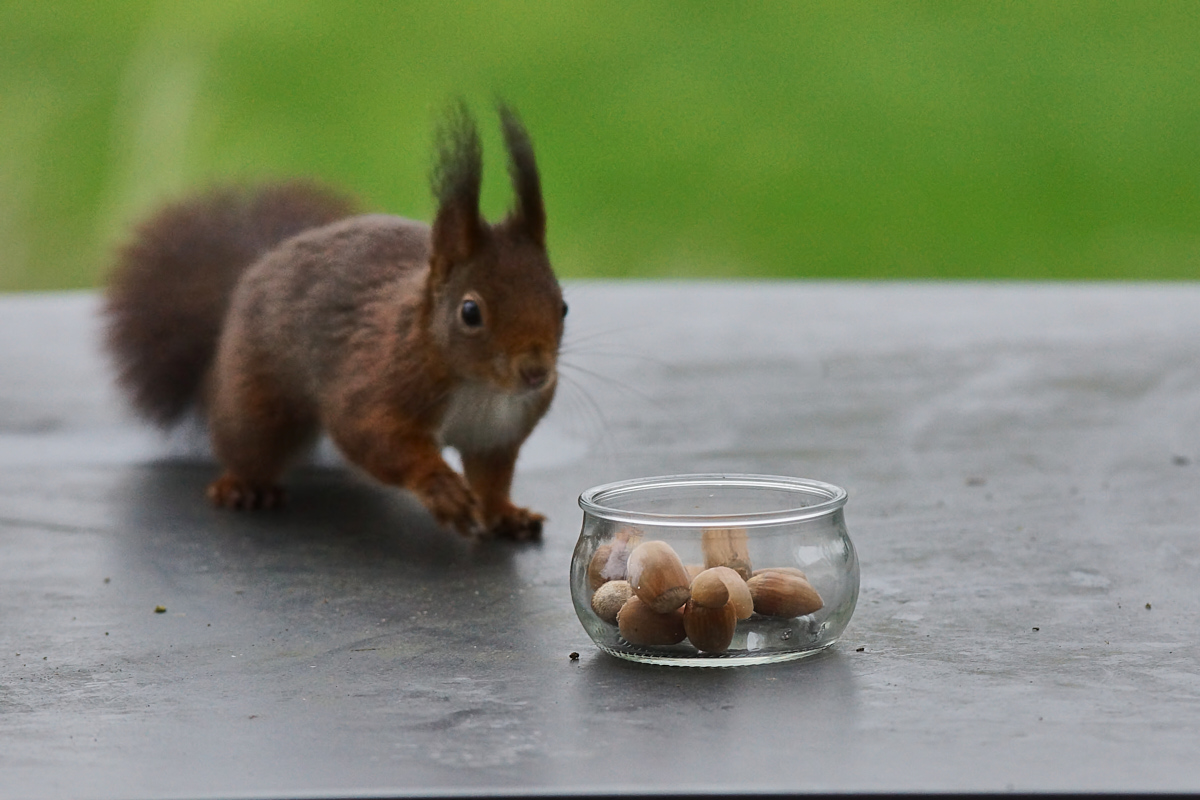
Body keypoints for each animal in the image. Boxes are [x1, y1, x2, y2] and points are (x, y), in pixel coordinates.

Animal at [105, 100, 564, 537]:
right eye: (470, 312)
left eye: (562, 306)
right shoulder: (372, 379)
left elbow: (492, 479)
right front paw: (441, 487)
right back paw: (242, 485)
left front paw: (504, 514)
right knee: (245, 441)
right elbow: (373, 436)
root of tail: (256, 266)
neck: (480, 388)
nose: (536, 372)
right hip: (256, 396)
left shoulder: (499, 433)